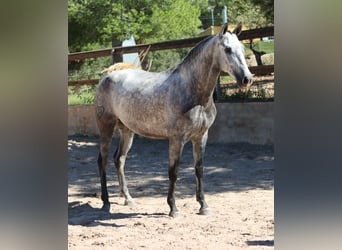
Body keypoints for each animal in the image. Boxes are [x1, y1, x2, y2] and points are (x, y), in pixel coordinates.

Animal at [95, 22, 252, 216]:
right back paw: (105, 202)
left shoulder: (201, 137)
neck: (192, 92)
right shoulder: (176, 139)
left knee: (119, 160)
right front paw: (173, 208)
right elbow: (173, 172)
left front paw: (204, 206)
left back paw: (128, 199)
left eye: (242, 48)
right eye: (228, 49)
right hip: (106, 127)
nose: (247, 79)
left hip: (127, 130)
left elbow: (199, 170)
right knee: (103, 161)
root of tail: (106, 76)